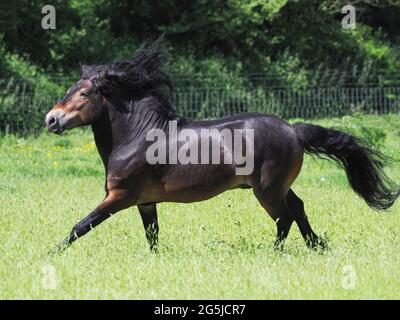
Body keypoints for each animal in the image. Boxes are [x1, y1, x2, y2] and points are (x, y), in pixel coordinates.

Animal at [45, 41, 398, 254]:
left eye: (84, 94)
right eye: (69, 89)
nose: (51, 119)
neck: (137, 135)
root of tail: (293, 130)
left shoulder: (120, 197)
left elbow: (80, 225)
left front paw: (50, 252)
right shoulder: (144, 202)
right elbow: (152, 235)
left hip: (266, 190)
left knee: (284, 218)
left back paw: (274, 254)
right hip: (279, 187)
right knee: (298, 208)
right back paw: (316, 246)